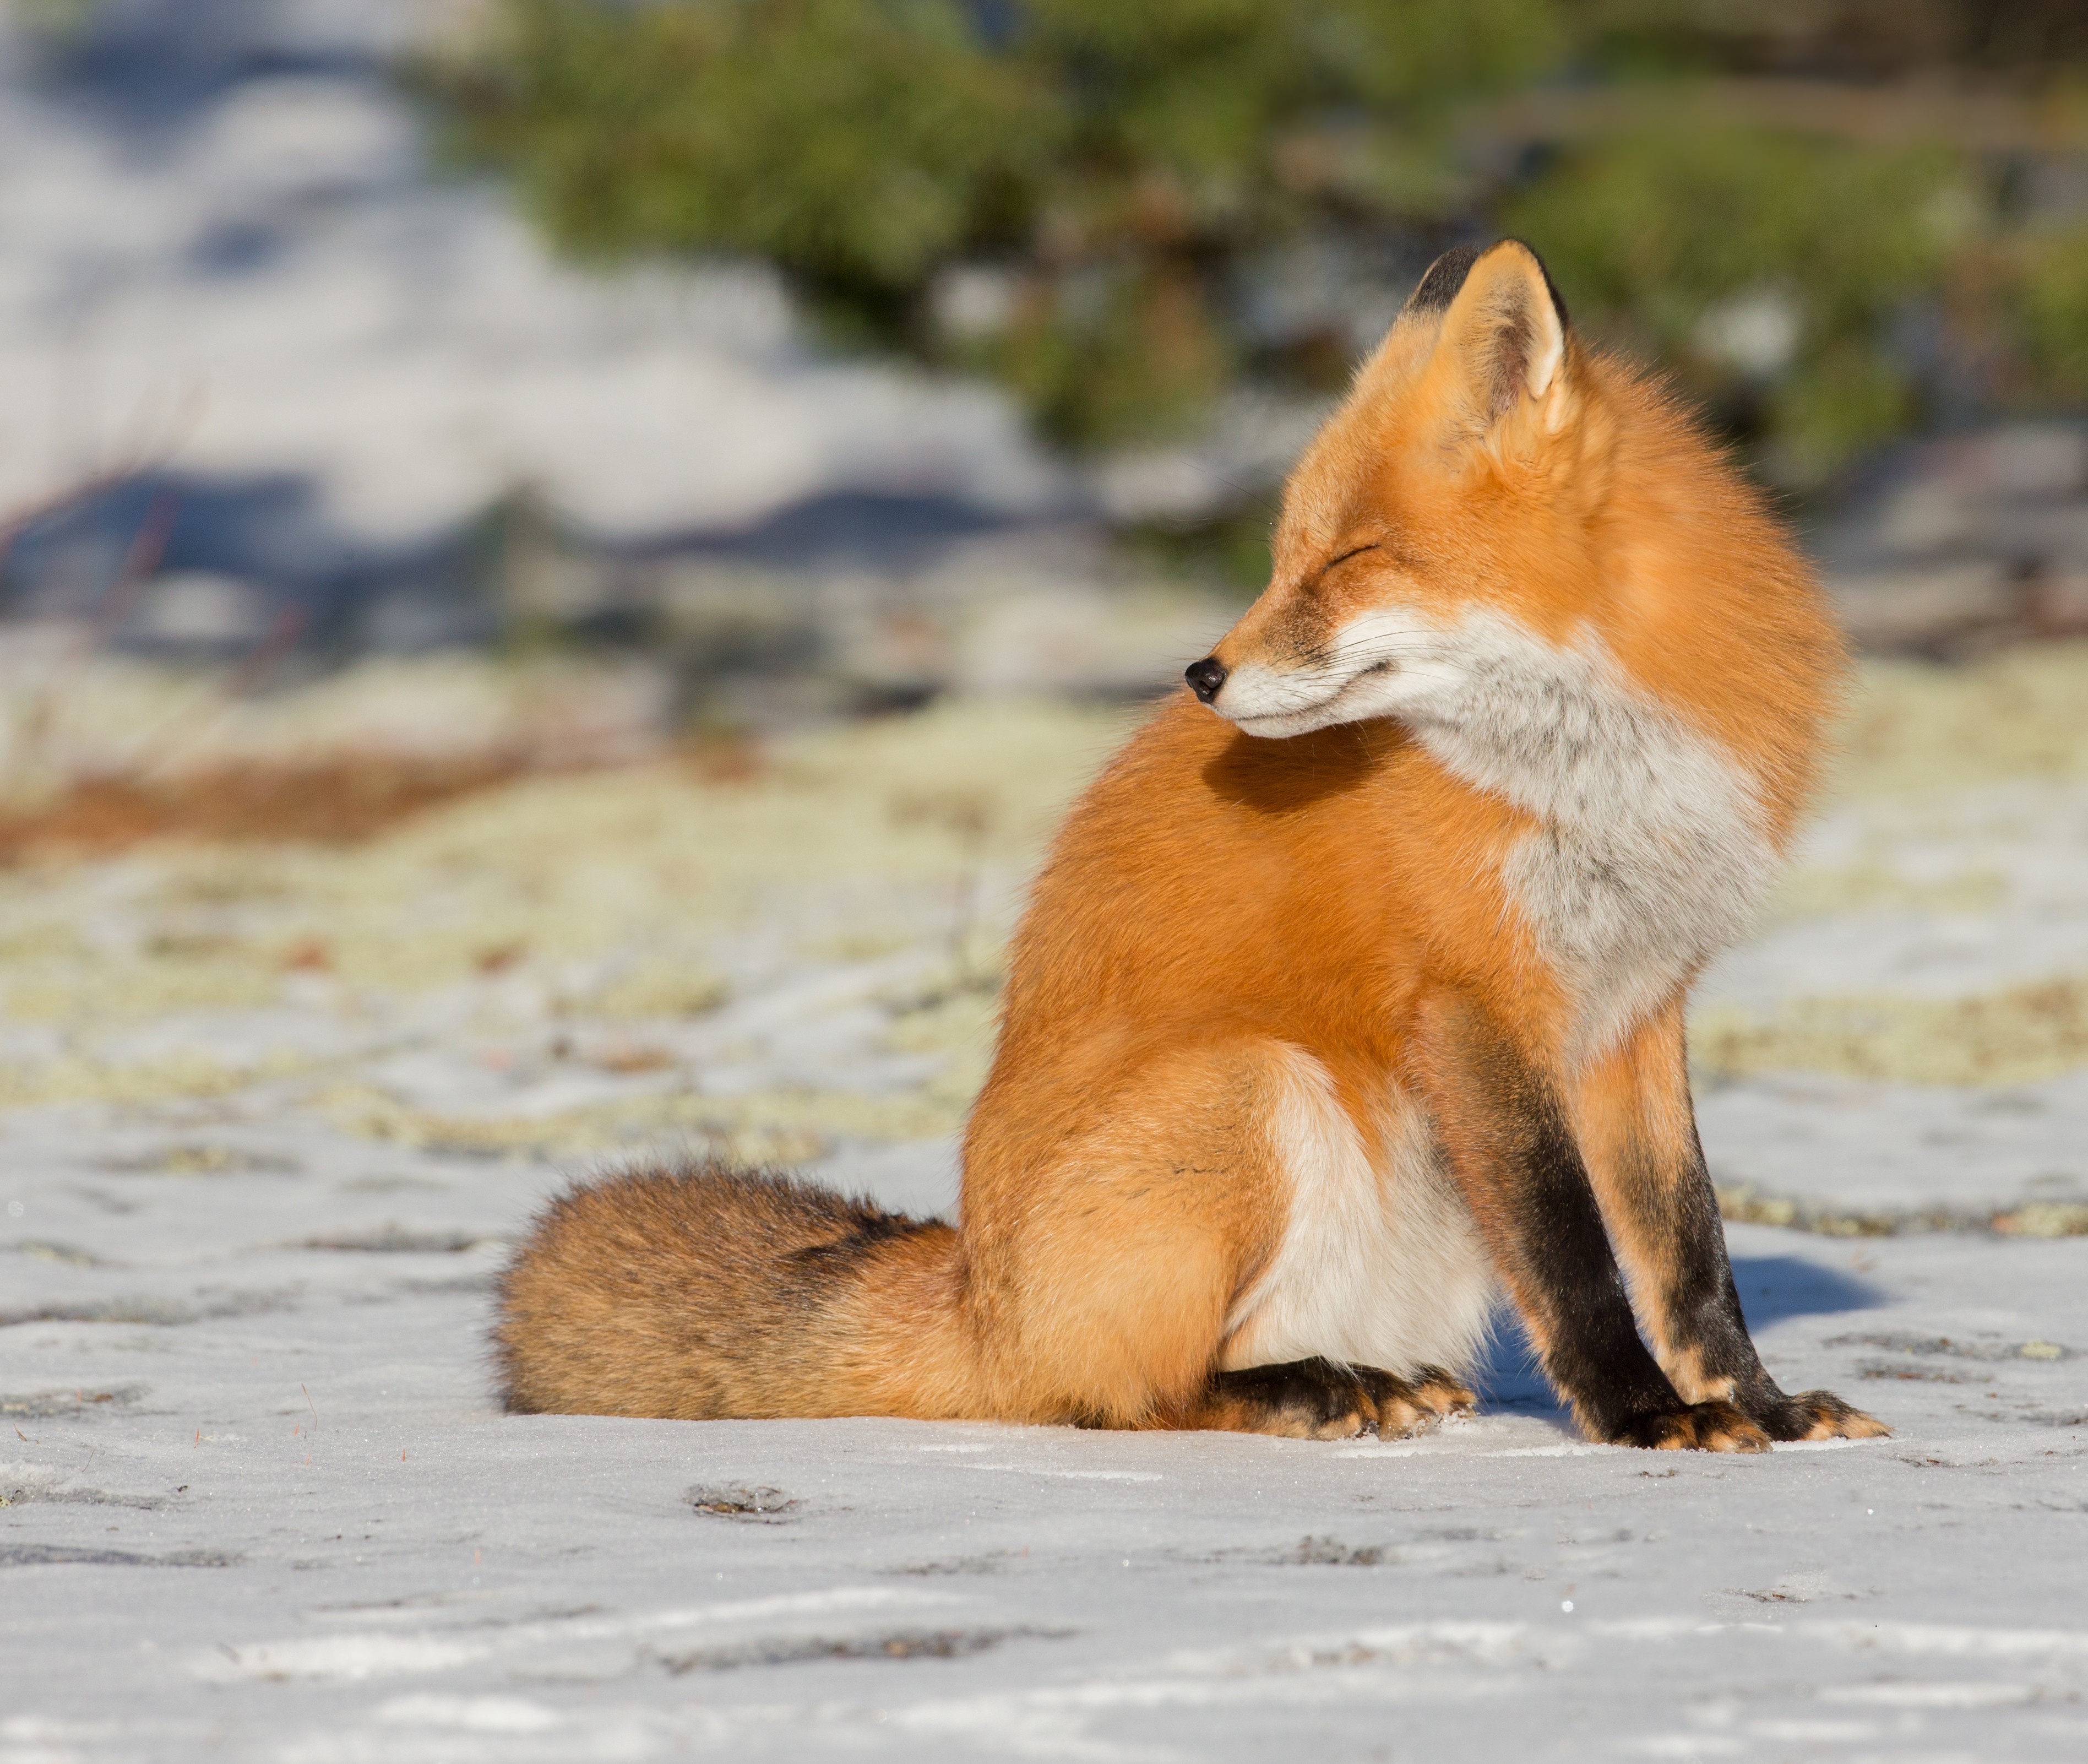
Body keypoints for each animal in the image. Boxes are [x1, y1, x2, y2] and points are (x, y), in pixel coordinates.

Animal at [492, 244, 1896, 1445]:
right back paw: (1299, 1389)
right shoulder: (1479, 1001)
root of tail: (975, 1292)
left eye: (1348, 557)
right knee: (1126, 1394)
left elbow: (1686, 1249)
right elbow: (1573, 1257)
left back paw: (1368, 1375)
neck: (1594, 771)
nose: (1203, 674)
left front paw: (1757, 1407)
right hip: (1249, 1085)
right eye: (1285, 557)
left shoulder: (1636, 1009)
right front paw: (1642, 1414)